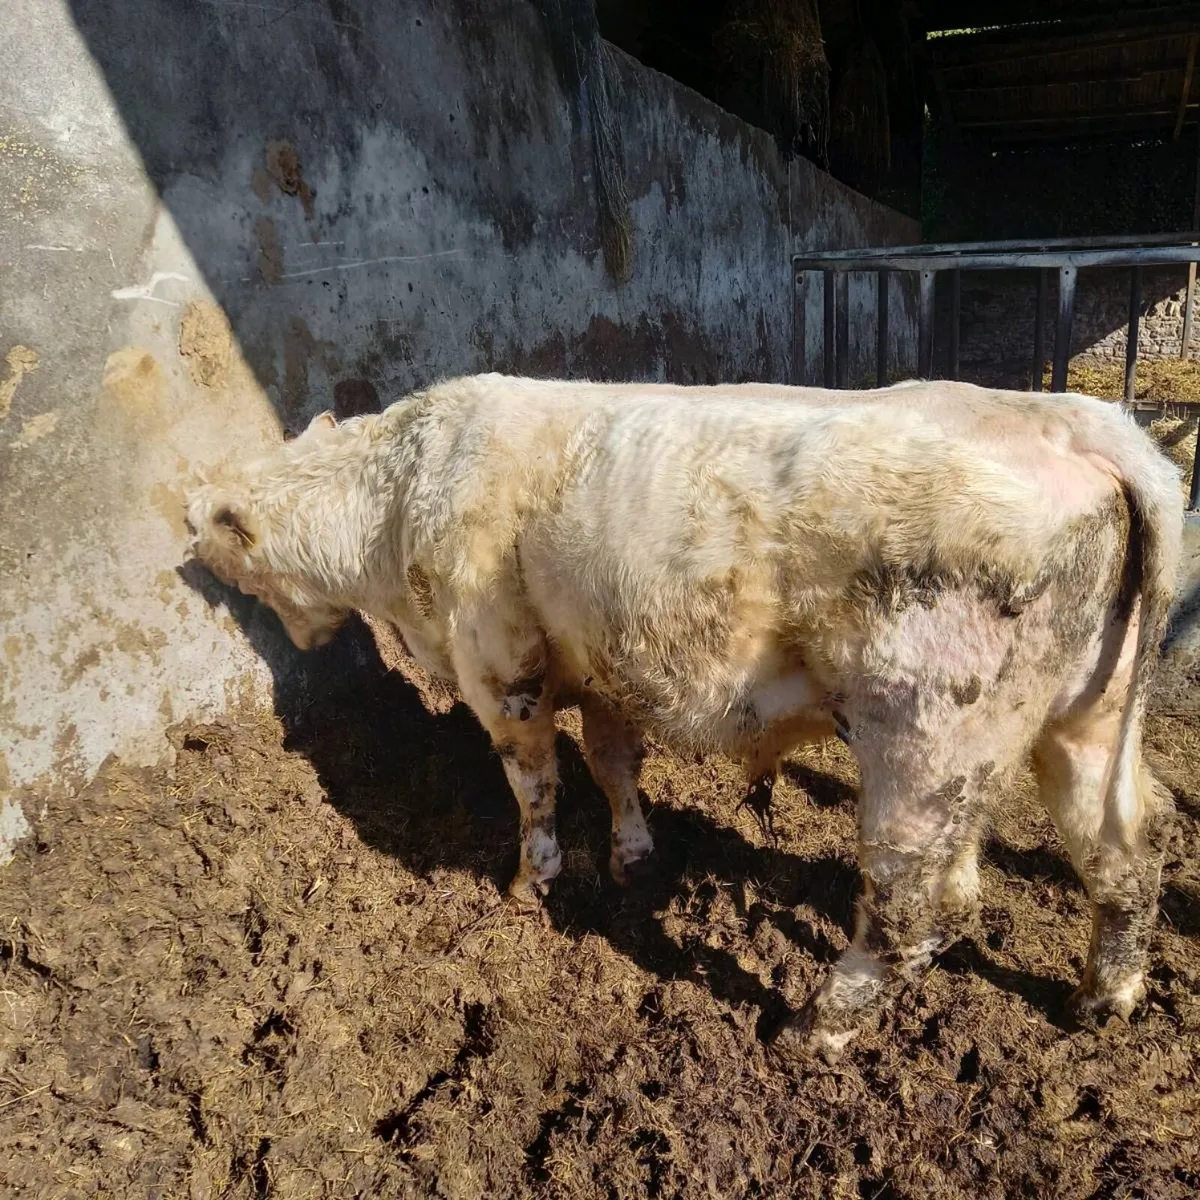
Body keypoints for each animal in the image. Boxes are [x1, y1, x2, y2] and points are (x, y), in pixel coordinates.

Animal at [184, 373, 1182, 1062]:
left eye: (217, 544)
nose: (189, 546)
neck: (399, 500)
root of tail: (1072, 420)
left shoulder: (501, 665)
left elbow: (534, 781)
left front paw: (530, 881)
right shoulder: (604, 674)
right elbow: (613, 765)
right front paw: (632, 855)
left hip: (925, 744)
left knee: (915, 908)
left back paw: (813, 1030)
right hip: (1079, 726)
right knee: (1128, 852)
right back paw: (1105, 1001)